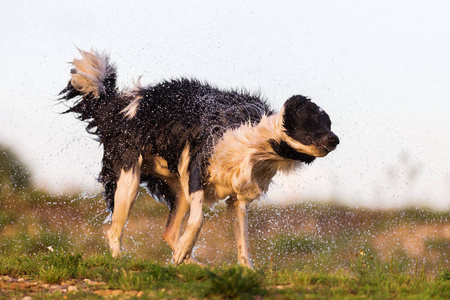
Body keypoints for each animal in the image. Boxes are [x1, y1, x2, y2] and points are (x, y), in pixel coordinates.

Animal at [60, 49, 342, 268]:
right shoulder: (198, 167)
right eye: (312, 122)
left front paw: (246, 270)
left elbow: (243, 240)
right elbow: (199, 219)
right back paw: (122, 259)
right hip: (128, 178)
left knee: (169, 232)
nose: (336, 140)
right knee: (114, 229)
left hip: (177, 190)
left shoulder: (237, 198)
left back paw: (190, 261)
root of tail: (119, 105)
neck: (260, 141)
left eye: (329, 122)